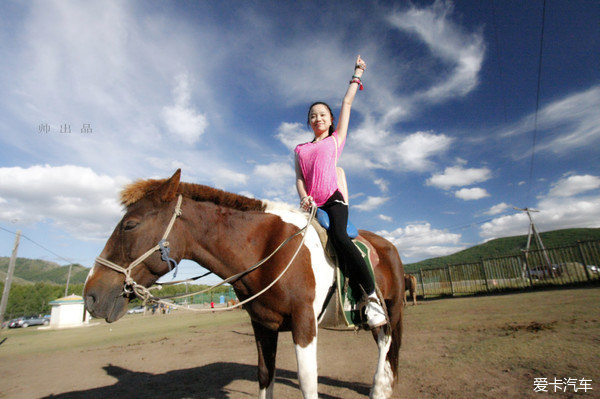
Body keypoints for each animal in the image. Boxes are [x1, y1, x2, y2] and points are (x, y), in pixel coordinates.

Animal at [83, 170, 404, 399]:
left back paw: (379, 389)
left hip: (392, 309)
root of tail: (388, 246)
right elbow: (265, 376)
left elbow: (307, 384)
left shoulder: (304, 325)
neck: (267, 247)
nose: (91, 296)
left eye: (130, 225)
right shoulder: (263, 325)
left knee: (386, 343)